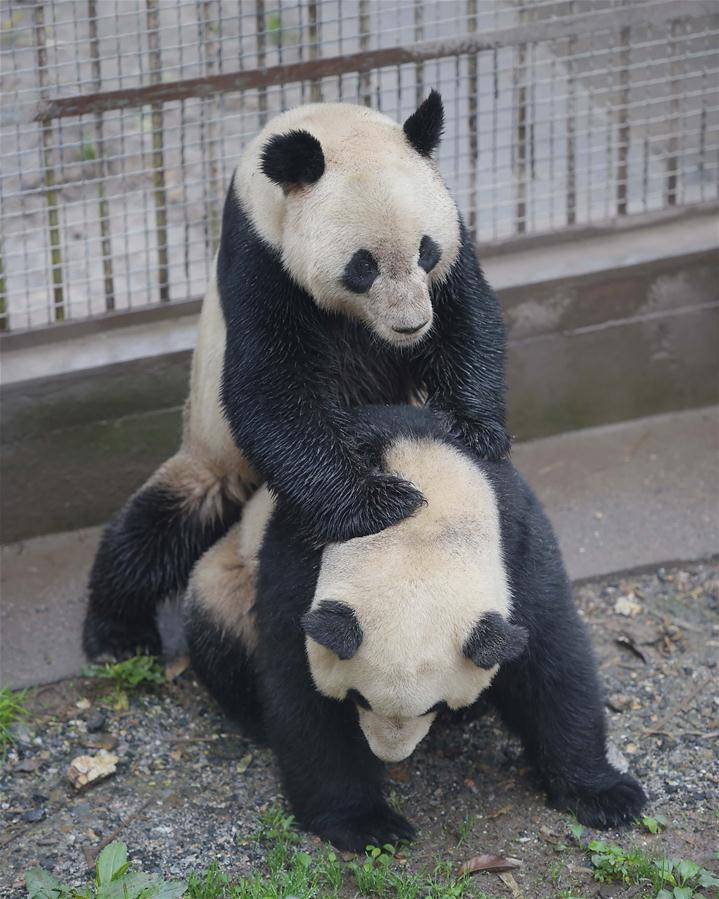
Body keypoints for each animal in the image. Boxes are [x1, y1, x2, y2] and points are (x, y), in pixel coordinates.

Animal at [81, 93, 510, 660]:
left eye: (425, 249)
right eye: (363, 266)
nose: (411, 325)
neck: (329, 124)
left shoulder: (452, 242)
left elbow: (468, 319)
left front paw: (472, 430)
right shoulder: (260, 261)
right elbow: (268, 389)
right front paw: (380, 502)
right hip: (214, 457)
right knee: (153, 530)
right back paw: (116, 635)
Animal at [186, 406, 648, 852]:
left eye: (435, 706)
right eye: (357, 698)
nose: (390, 755)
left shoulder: (516, 541)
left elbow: (551, 665)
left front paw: (606, 796)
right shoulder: (299, 555)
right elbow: (301, 693)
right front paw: (367, 824)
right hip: (232, 574)